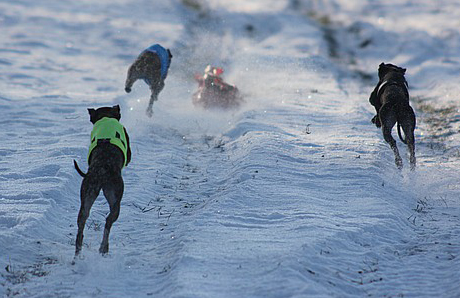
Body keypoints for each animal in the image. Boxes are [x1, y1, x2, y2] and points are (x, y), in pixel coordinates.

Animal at [73, 105, 132, 256]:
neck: (106, 117)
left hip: (87, 192)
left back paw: (78, 250)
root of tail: (101, 171)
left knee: (82, 222)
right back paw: (104, 247)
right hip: (115, 195)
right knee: (109, 220)